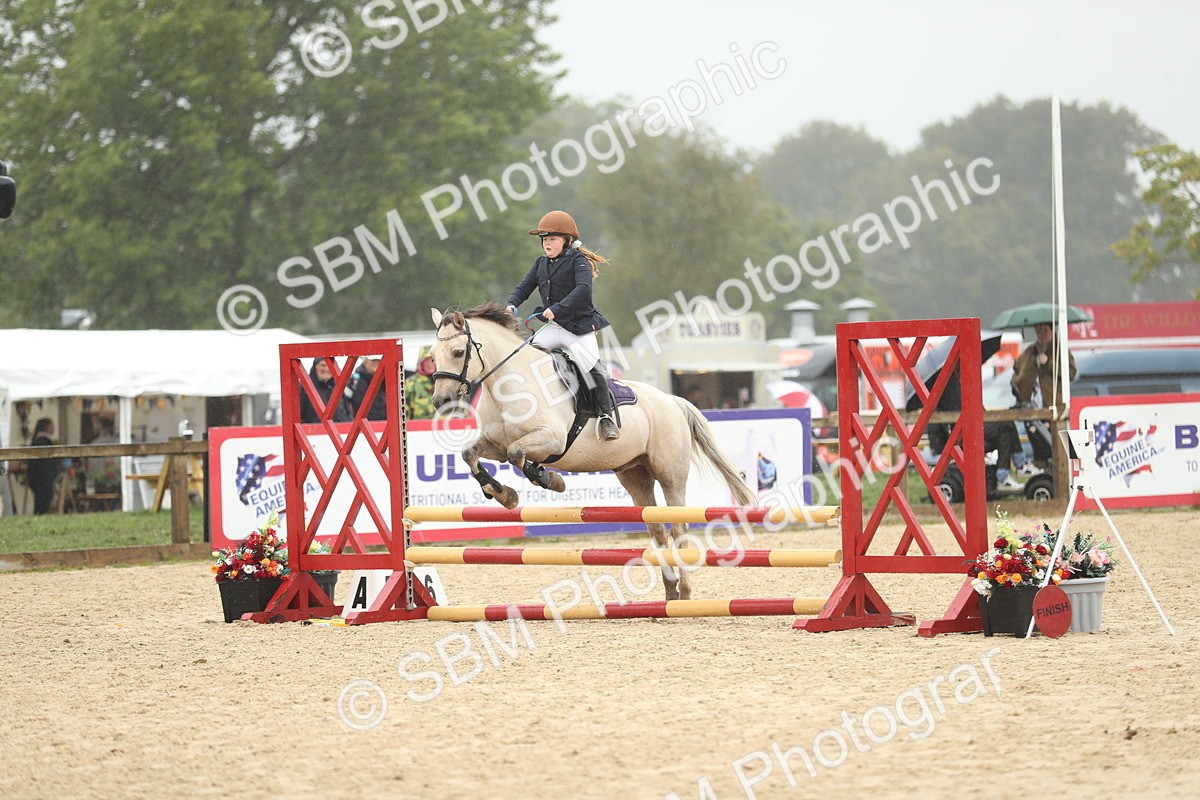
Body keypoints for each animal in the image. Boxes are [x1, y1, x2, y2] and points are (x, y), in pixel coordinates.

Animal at [428, 302, 757, 601]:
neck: (510, 383)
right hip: (635, 475)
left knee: (679, 528)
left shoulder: (551, 440)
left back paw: (685, 589)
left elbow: (519, 455)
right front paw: (502, 493)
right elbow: (470, 454)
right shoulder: (496, 444)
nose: (441, 401)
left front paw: (550, 480)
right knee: (657, 529)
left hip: (670, 474)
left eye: (458, 353)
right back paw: (670, 588)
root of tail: (672, 401)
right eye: (432, 355)